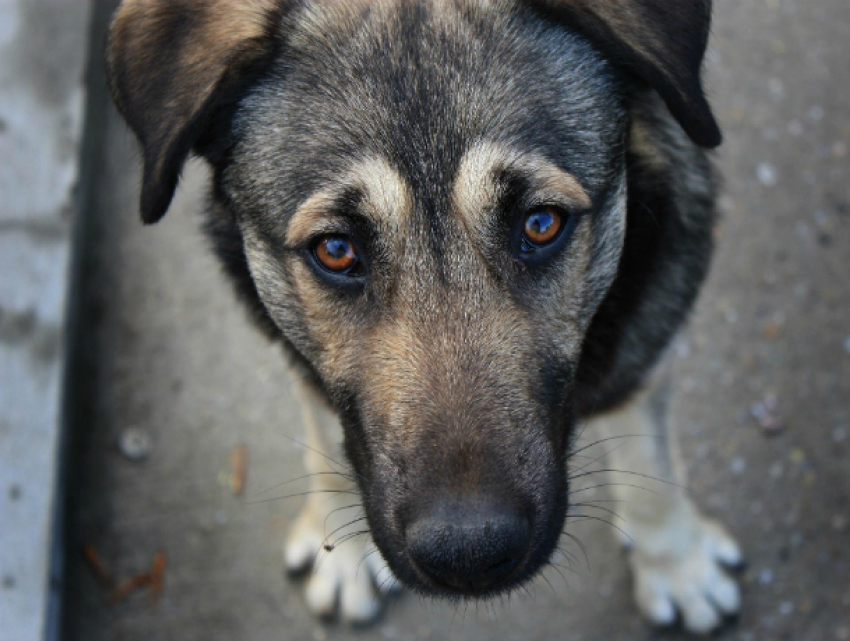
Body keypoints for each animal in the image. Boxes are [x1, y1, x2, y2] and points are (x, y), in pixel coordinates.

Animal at [106, 0, 744, 632]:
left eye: (541, 223)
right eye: (335, 250)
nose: (470, 555)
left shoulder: (645, 333)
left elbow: (650, 460)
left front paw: (676, 563)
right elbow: (326, 435)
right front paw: (344, 549)